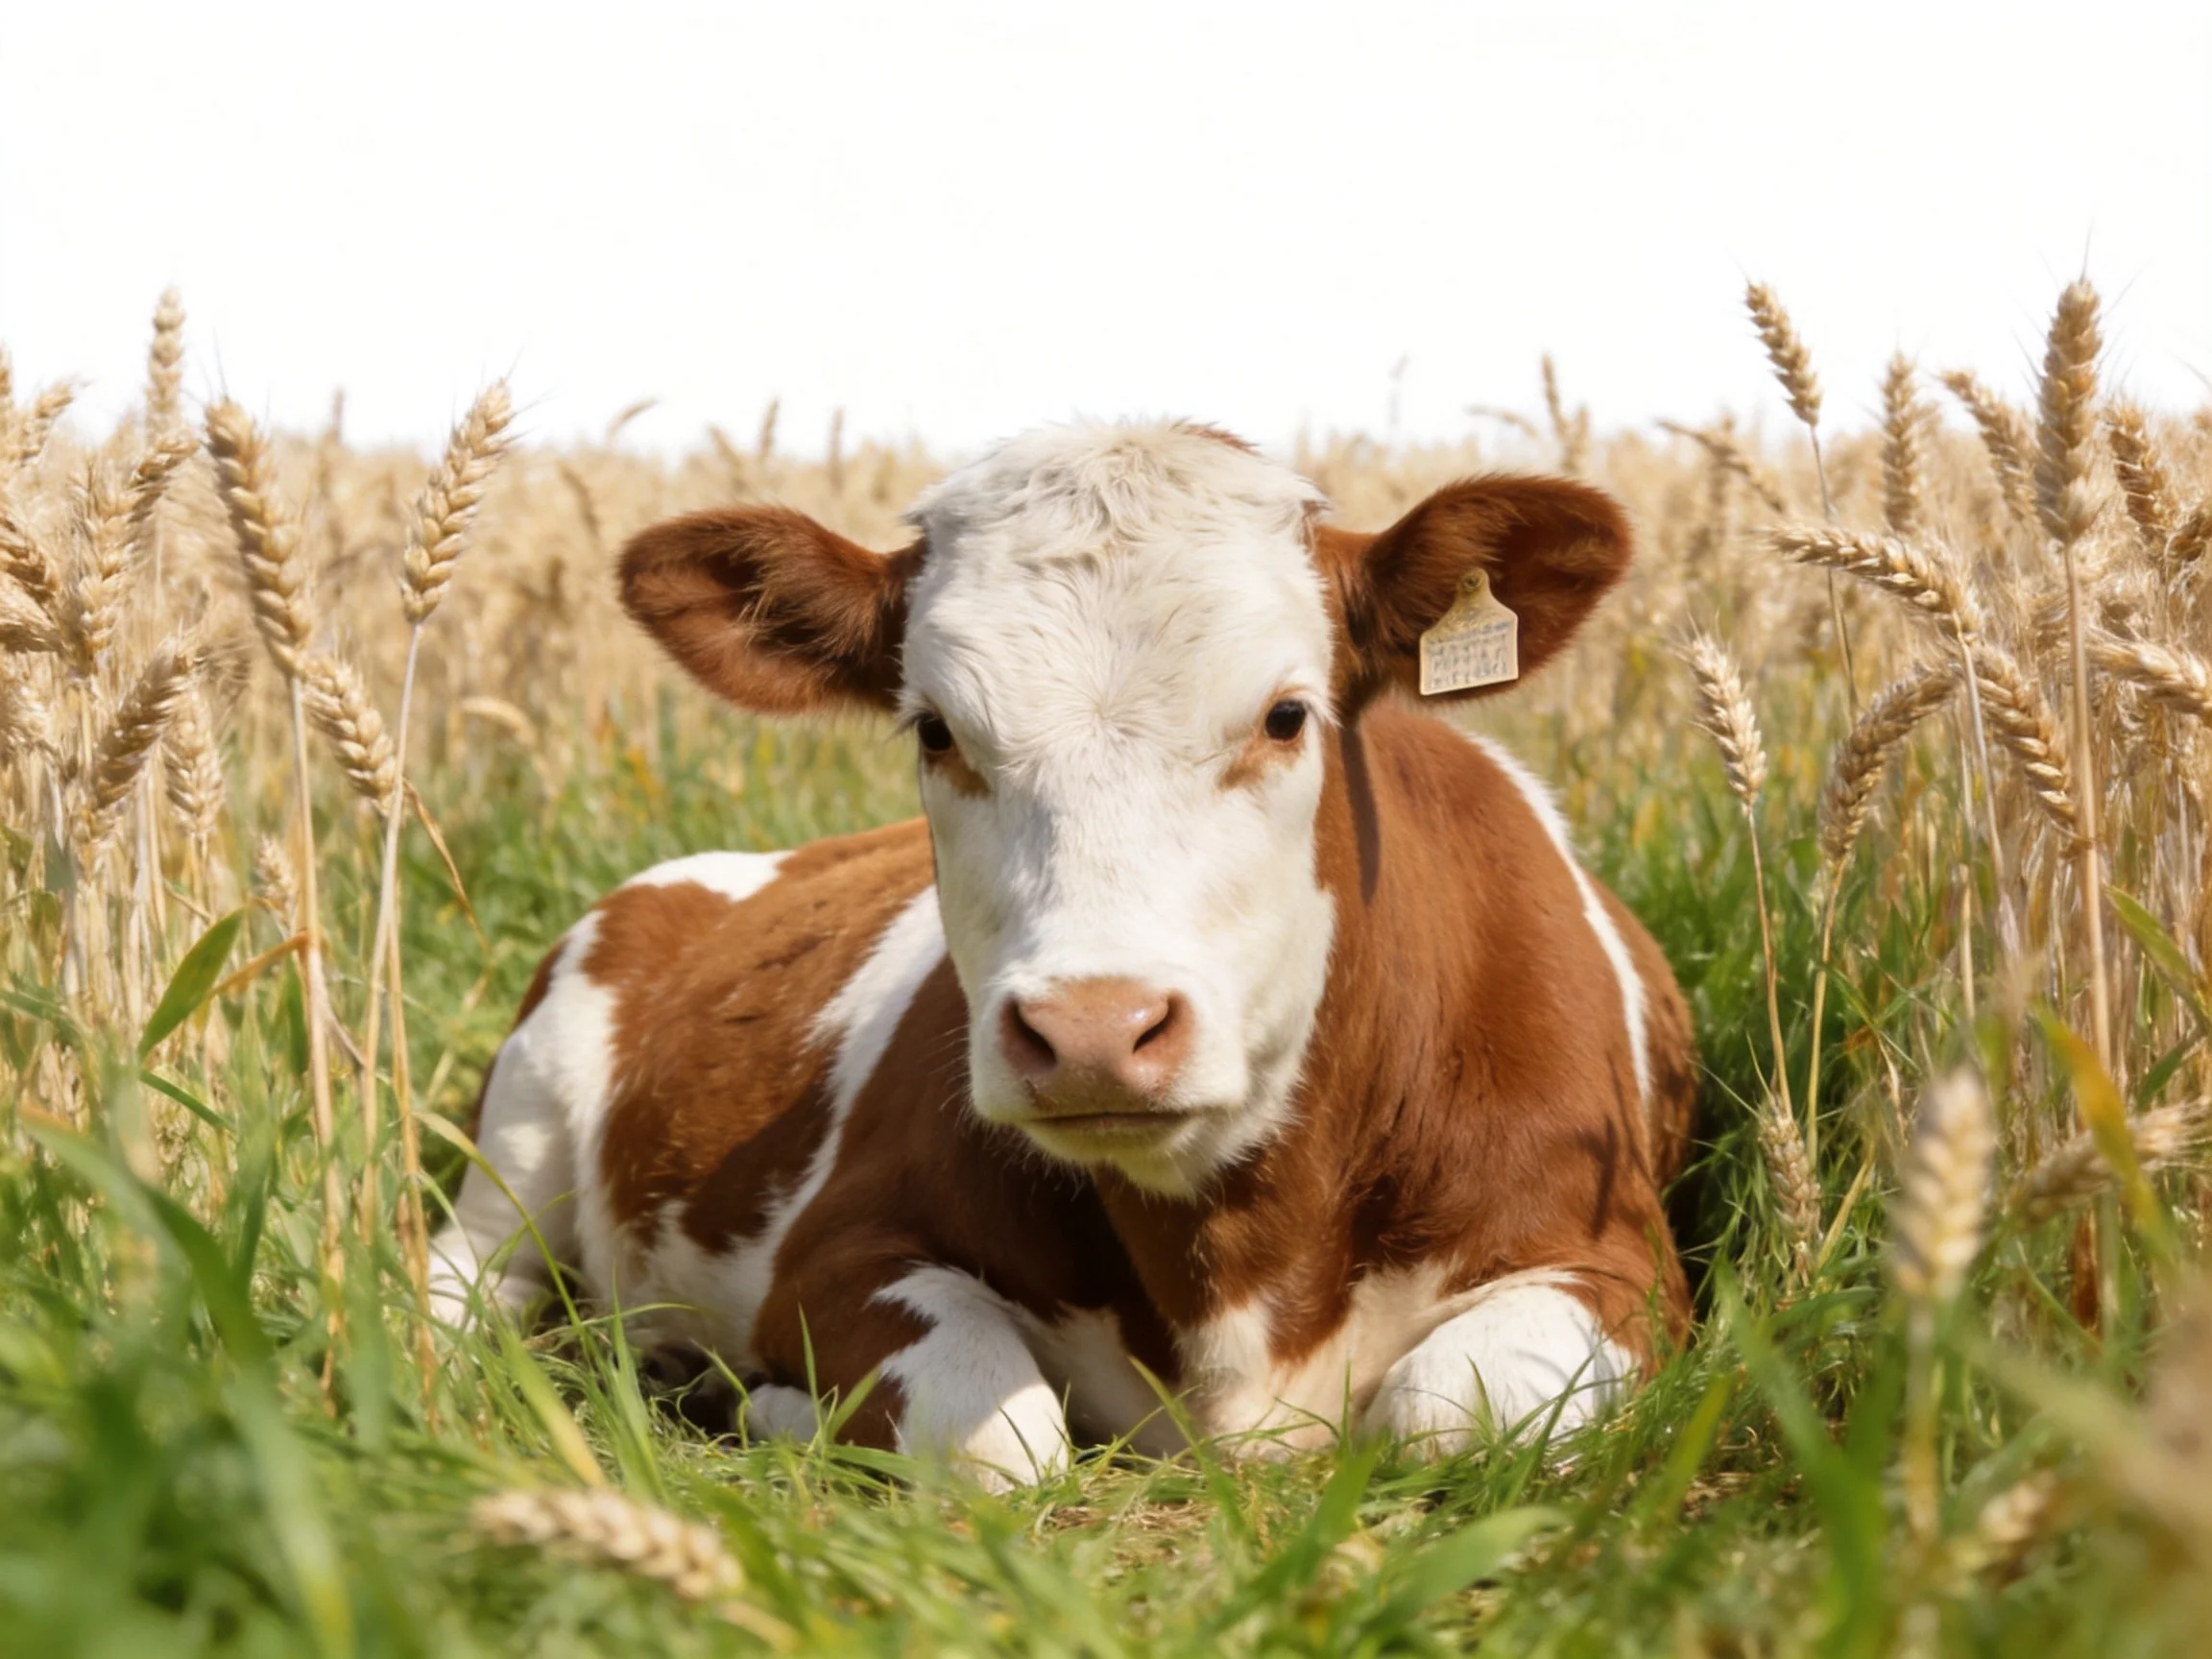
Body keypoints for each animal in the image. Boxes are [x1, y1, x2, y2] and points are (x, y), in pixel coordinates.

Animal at [427, 421, 1696, 1487]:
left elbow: (1451, 1412)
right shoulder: (835, 1247)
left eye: (1288, 715)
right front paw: (761, 1403)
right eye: (936, 729)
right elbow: (1006, 1439)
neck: (1233, 1267)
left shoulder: (1619, 1262)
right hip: (522, 1131)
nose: (1093, 1028)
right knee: (462, 1277)